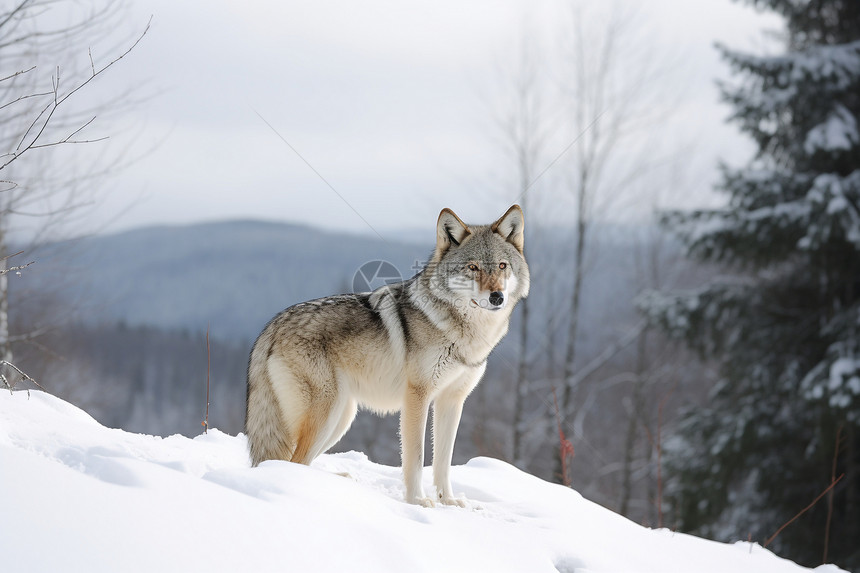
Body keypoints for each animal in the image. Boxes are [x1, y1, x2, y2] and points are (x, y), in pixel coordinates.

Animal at [245, 204, 532, 504]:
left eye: (502, 266)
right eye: (473, 267)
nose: (497, 297)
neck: (462, 333)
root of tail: (271, 326)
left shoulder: (452, 401)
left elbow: (444, 461)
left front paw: (448, 501)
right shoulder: (417, 397)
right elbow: (416, 457)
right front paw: (417, 501)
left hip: (341, 417)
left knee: (299, 460)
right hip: (327, 413)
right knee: (294, 461)